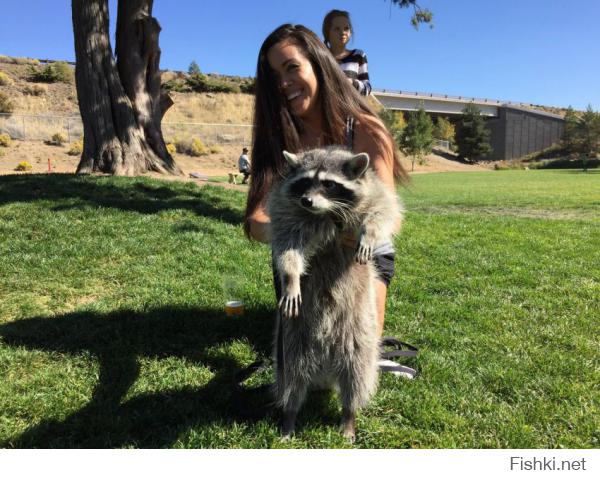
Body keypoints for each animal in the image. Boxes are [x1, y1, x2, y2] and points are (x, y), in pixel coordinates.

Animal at [268, 146, 404, 442]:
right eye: (304, 182)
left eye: (329, 184)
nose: (307, 200)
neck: (324, 213)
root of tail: (326, 365)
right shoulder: (286, 211)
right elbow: (287, 248)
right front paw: (291, 278)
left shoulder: (375, 192)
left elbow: (383, 213)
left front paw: (369, 234)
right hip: (294, 340)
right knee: (292, 378)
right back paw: (290, 416)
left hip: (359, 333)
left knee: (357, 376)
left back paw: (349, 415)